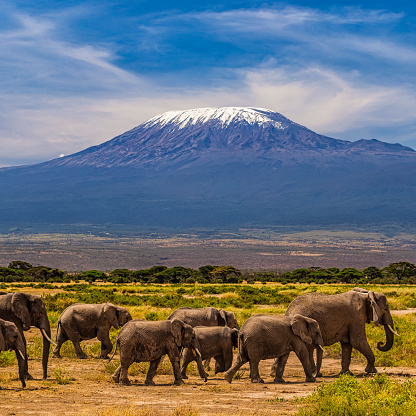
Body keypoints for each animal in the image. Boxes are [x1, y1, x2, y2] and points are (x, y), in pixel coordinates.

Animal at [270, 286, 400, 376]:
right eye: (386, 308)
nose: (380, 343)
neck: (366, 295)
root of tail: (289, 311)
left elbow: (347, 344)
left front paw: (346, 374)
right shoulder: (356, 317)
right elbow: (357, 341)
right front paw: (372, 371)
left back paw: (273, 373)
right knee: (309, 349)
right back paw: (314, 374)